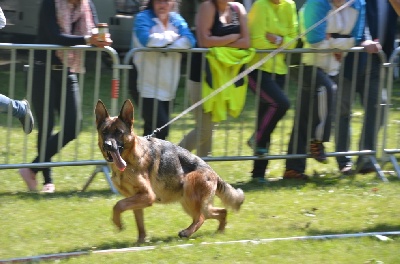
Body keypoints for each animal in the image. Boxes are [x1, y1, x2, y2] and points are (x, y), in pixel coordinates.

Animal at [95, 99, 245, 243]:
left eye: (118, 132)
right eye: (104, 132)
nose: (107, 145)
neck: (130, 159)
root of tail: (213, 172)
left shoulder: (148, 195)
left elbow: (118, 205)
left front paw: (118, 223)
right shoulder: (136, 199)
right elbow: (139, 223)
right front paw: (140, 242)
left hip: (190, 191)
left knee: (201, 217)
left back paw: (187, 232)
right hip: (193, 203)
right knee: (220, 212)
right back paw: (220, 232)